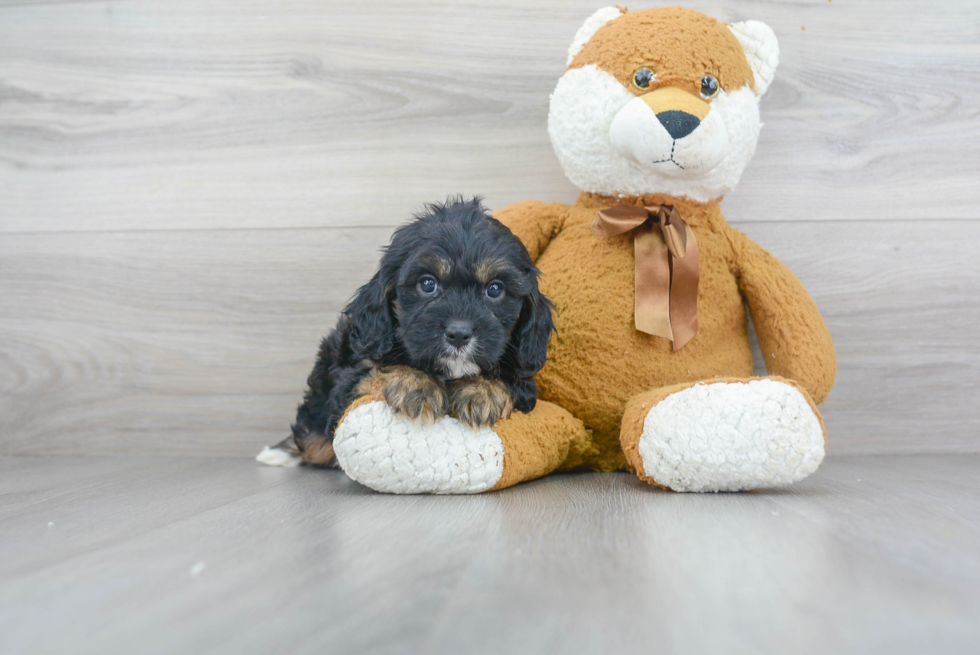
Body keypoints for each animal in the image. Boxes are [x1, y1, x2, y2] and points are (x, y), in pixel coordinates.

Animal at [256, 197, 556, 468]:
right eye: (427, 284)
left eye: (494, 289)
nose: (459, 334)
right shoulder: (350, 378)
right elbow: (373, 371)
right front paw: (414, 383)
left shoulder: (526, 383)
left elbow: (513, 379)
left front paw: (484, 390)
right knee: (312, 441)